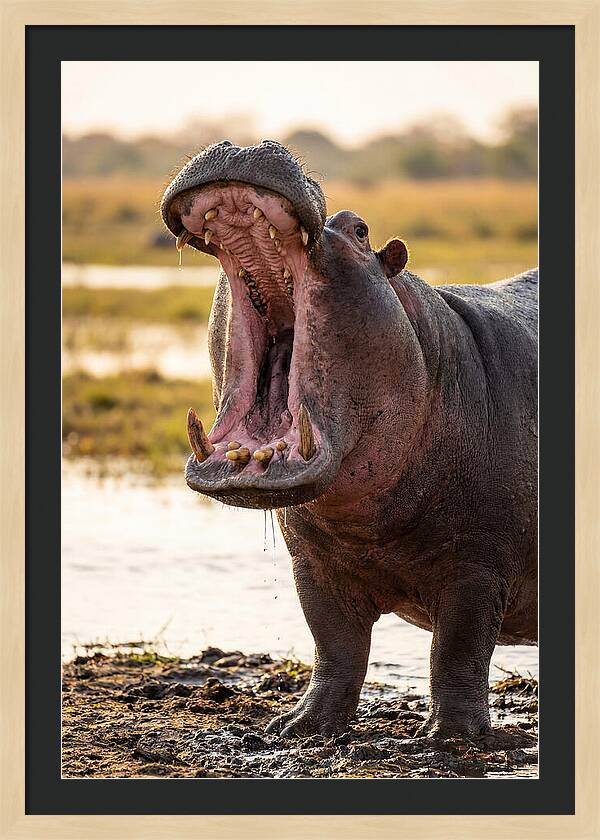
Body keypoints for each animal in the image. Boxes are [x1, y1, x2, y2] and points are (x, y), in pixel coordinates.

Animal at [161, 140, 538, 739]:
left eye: (360, 230)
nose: (245, 144)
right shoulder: (312, 564)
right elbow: (334, 643)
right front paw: (300, 726)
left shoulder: (479, 566)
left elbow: (458, 649)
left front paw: (452, 737)